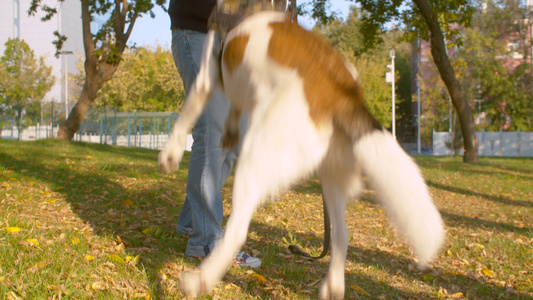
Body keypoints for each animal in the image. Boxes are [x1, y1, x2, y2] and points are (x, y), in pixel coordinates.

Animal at [159, 1, 444, 298]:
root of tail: (344, 97)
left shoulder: (206, 76)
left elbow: (186, 114)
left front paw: (170, 154)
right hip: (331, 177)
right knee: (341, 236)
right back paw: (333, 286)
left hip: (257, 159)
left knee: (237, 230)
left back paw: (200, 280)